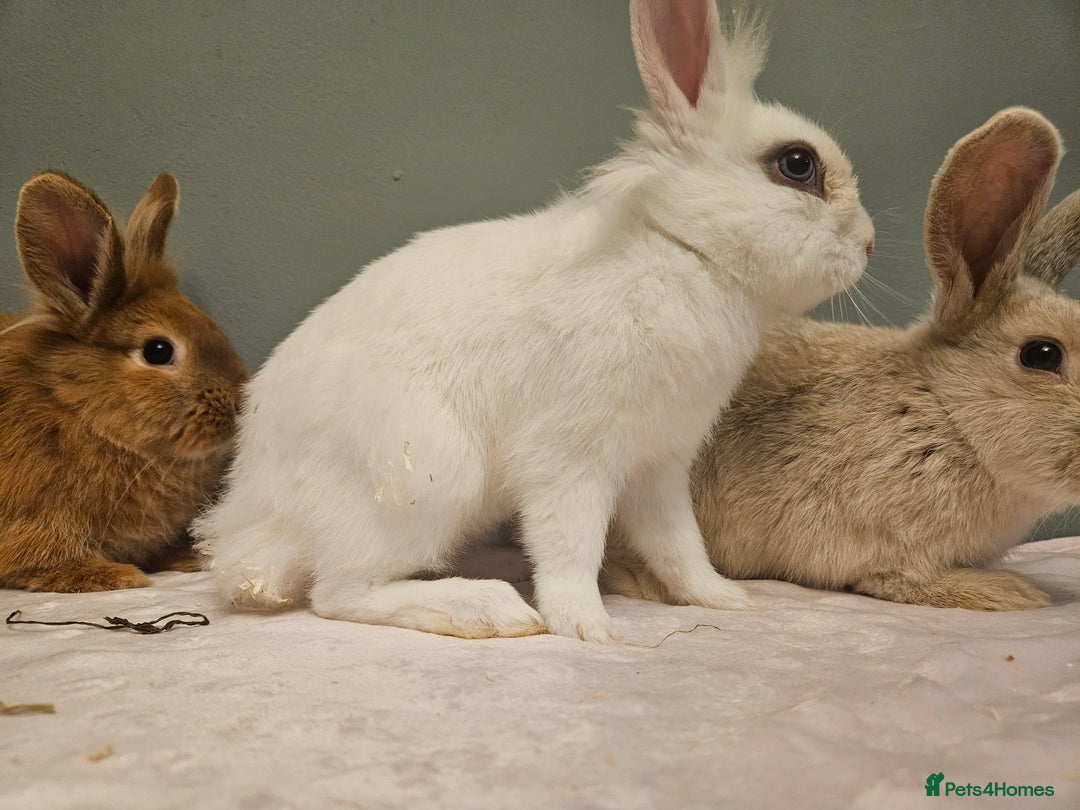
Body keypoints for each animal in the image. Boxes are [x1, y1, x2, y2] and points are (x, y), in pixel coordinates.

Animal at [193, 0, 874, 642]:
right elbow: (571, 547)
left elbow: (679, 545)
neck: (687, 251)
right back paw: (486, 609)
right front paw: (588, 627)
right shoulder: (569, 460)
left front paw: (725, 599)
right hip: (430, 476)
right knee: (338, 593)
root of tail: (259, 524)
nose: (869, 244)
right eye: (796, 165)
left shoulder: (657, 467)